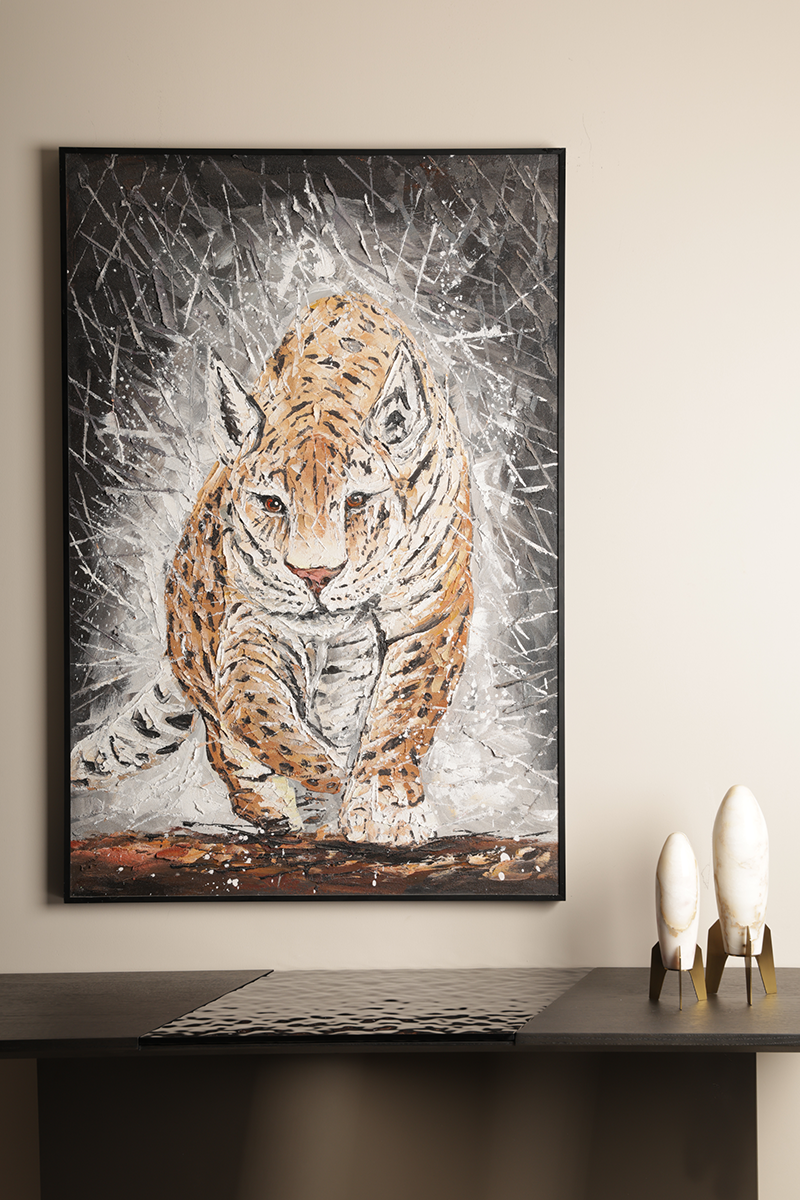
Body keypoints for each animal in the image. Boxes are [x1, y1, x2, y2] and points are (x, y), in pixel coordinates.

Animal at [71, 293, 473, 847]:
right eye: (271, 503)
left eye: (357, 501)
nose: (316, 576)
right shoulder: (255, 622)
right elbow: (251, 705)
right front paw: (325, 772)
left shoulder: (432, 612)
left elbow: (404, 712)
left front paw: (383, 806)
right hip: (199, 636)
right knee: (223, 739)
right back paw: (276, 805)